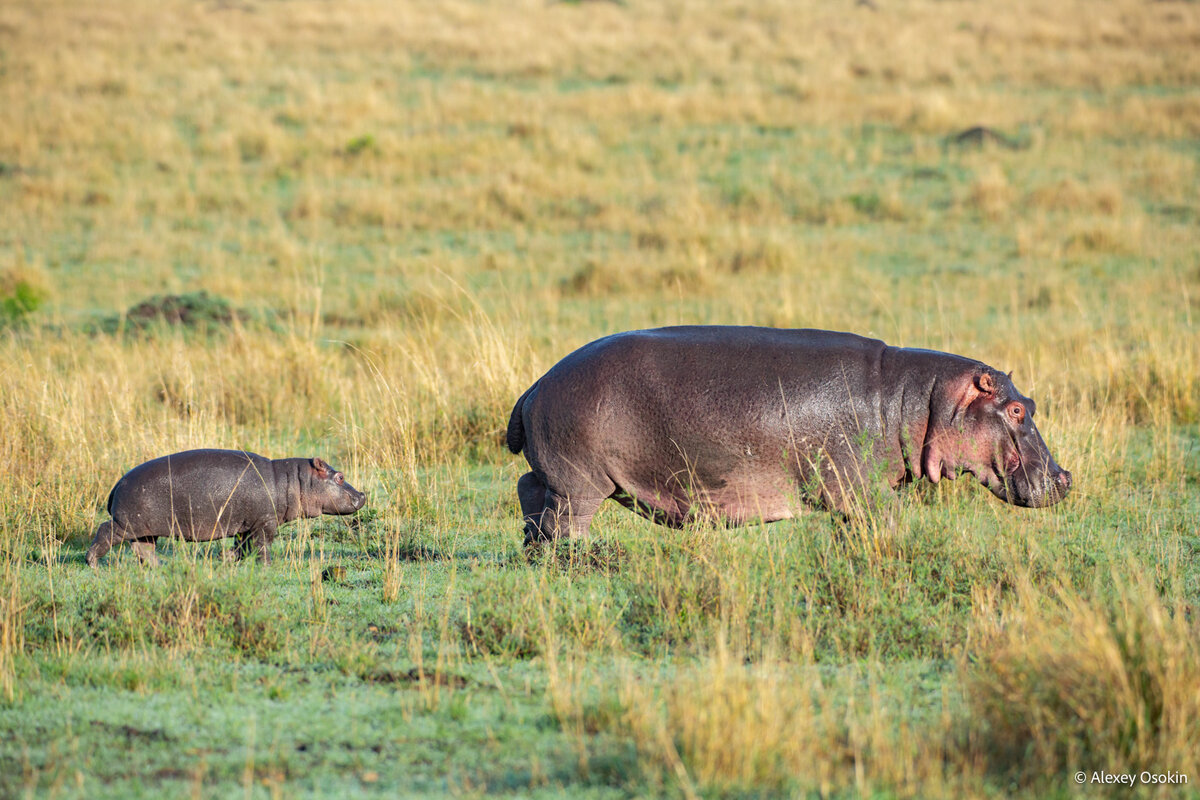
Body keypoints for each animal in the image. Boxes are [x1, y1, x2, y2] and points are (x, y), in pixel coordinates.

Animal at [87, 448, 364, 566]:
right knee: (105, 532)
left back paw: (160, 567)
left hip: (146, 528)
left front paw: (227, 559)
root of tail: (117, 484)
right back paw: (93, 563)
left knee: (143, 549)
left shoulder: (247, 525)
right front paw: (267, 566)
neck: (292, 479)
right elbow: (262, 547)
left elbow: (242, 547)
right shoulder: (265, 523)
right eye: (340, 477)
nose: (362, 495)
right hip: (126, 523)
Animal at [506, 326, 1070, 544]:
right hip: (579, 483)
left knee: (529, 496)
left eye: (1032, 404)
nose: (1065, 478)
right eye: (1015, 409)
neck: (919, 400)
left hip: (555, 478)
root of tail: (535, 385)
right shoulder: (862, 490)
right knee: (563, 522)